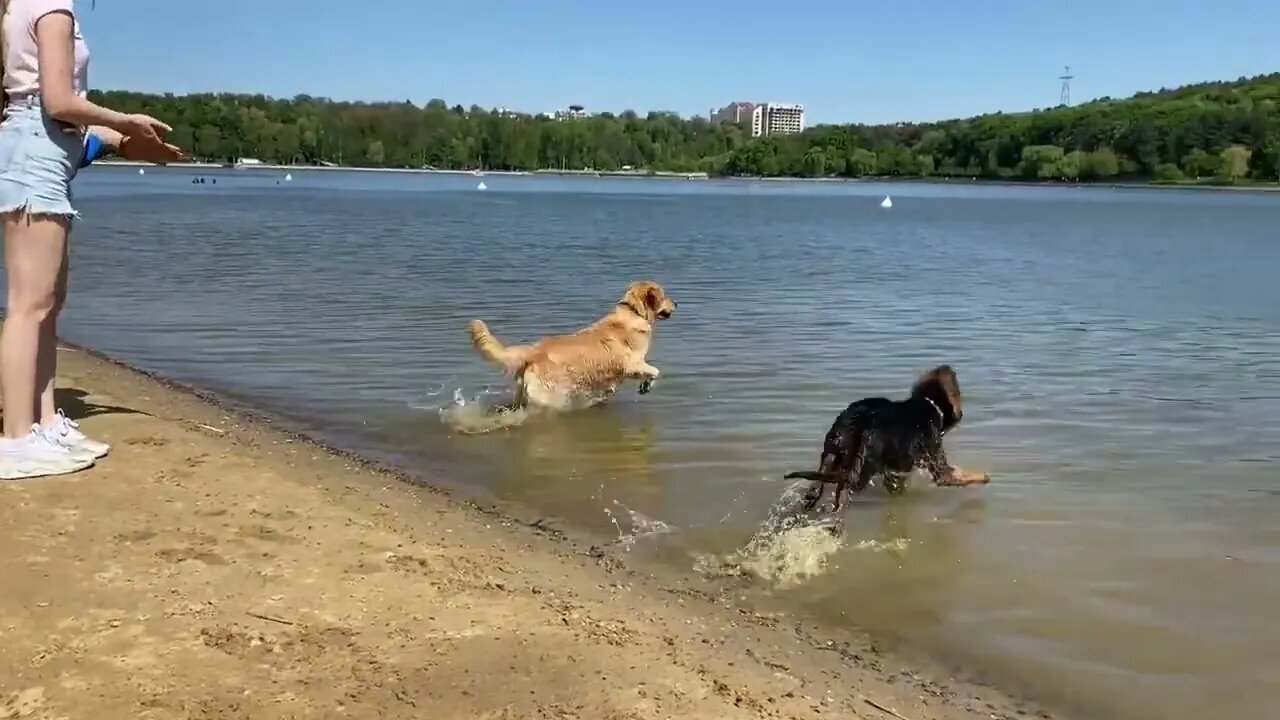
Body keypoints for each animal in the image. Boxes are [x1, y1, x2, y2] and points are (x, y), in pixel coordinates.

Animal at [468, 279, 680, 409]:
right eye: (664, 296)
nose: (677, 303)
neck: (633, 312)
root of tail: (533, 351)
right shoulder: (632, 364)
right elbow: (655, 371)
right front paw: (646, 385)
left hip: (523, 393)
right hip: (547, 395)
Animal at [783, 363, 983, 509]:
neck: (929, 404)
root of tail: (860, 422)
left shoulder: (894, 472)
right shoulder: (937, 464)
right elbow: (960, 476)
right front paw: (984, 476)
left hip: (834, 453)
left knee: (820, 486)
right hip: (861, 469)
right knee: (843, 489)